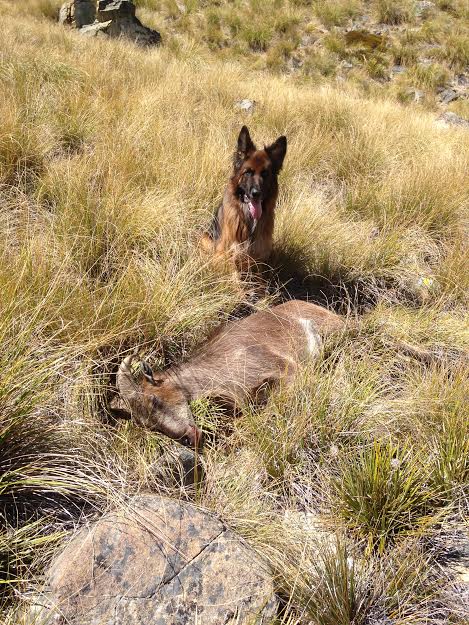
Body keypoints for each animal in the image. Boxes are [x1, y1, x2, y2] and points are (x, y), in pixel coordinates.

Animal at [200, 126, 286, 270]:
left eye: (265, 174)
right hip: (205, 238)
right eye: (248, 172)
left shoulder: (259, 256)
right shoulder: (224, 252)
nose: (256, 193)